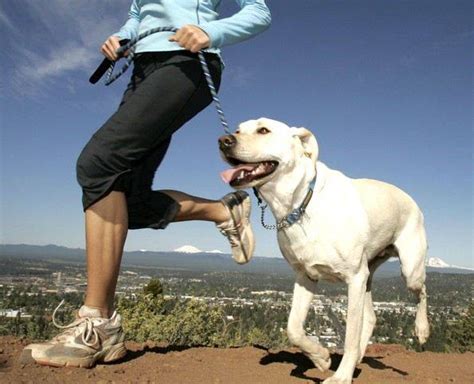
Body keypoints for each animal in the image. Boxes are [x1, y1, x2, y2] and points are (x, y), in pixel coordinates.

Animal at [218, 118, 430, 384]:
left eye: (263, 130)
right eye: (237, 130)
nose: (223, 141)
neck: (300, 205)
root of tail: (410, 199)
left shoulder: (354, 279)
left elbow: (349, 336)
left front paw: (341, 376)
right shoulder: (305, 276)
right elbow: (293, 328)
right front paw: (320, 358)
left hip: (408, 270)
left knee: (422, 291)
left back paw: (422, 330)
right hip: (368, 276)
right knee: (371, 317)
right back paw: (358, 358)